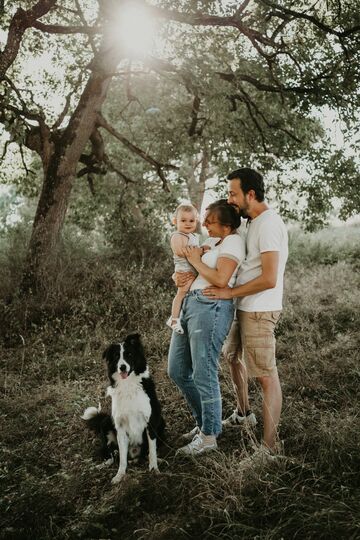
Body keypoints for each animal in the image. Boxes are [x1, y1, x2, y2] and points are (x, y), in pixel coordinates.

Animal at [82, 332, 165, 484]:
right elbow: (122, 459)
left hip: (161, 422)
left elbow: (152, 451)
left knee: (144, 453)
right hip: (106, 424)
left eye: (129, 354)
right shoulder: (119, 426)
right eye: (116, 356)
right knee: (112, 455)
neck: (128, 385)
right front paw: (120, 475)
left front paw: (154, 469)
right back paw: (102, 465)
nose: (122, 367)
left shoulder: (151, 422)